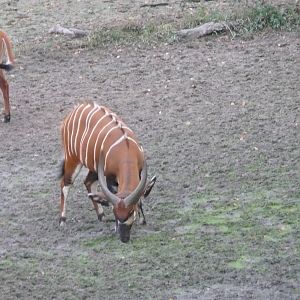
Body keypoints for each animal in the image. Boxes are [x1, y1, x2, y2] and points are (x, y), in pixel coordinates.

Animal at [59, 102, 157, 243]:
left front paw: (142, 220)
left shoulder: (139, 172)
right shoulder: (110, 177)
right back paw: (62, 219)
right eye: (115, 212)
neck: (125, 151)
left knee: (88, 182)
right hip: (73, 158)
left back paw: (102, 216)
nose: (124, 238)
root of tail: (77, 108)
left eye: (130, 212)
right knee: (65, 184)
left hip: (94, 167)